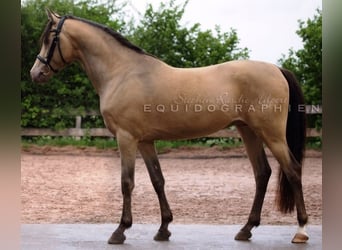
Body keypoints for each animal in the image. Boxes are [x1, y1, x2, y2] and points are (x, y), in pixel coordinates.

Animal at [30, 10, 308, 244]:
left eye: (50, 38)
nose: (35, 73)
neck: (122, 73)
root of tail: (277, 69)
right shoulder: (145, 141)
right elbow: (157, 180)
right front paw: (164, 229)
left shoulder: (126, 138)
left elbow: (126, 183)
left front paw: (120, 230)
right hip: (248, 131)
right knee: (262, 174)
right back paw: (246, 229)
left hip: (272, 135)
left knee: (293, 171)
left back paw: (301, 231)